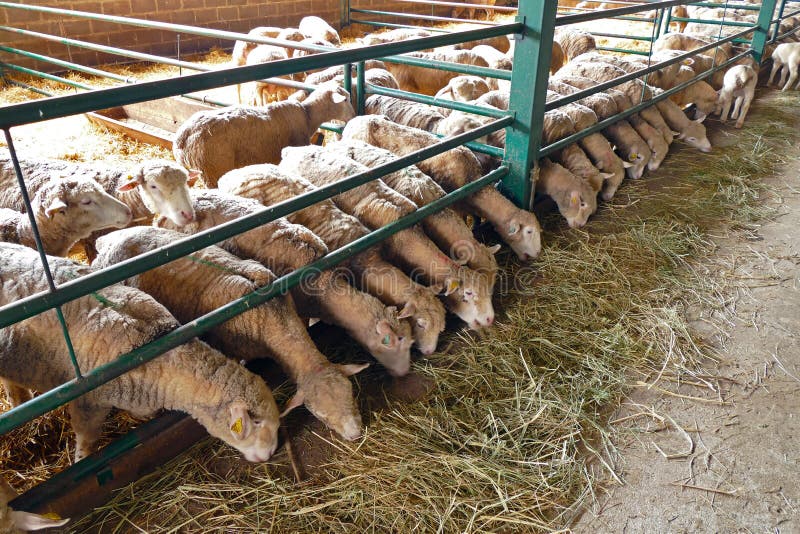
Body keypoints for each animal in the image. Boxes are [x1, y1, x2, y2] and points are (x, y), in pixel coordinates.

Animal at [0, 242, 280, 463]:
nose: (270, 454)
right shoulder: (88, 401)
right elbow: (86, 439)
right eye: (256, 423)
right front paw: (81, 459)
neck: (150, 347)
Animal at [173, 85, 355, 187]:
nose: (354, 115)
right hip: (211, 169)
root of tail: (182, 140)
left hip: (195, 170)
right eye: (345, 99)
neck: (307, 115)